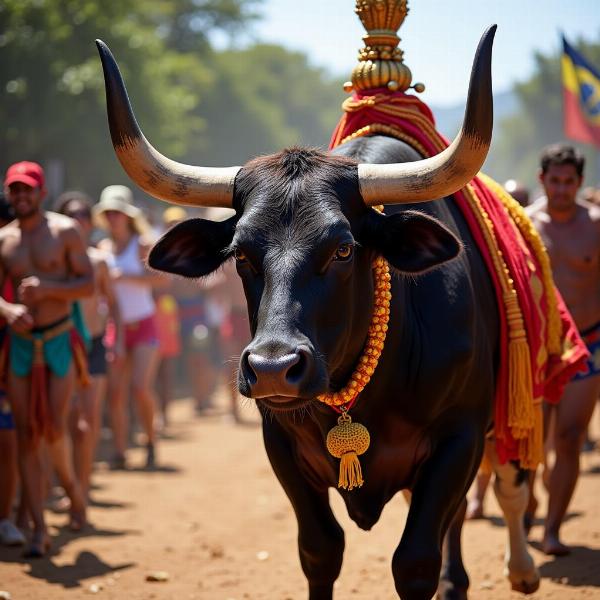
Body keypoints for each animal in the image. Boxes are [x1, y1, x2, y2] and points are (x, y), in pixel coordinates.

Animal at [97, 24, 540, 600]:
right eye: (240, 253)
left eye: (344, 249)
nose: (272, 368)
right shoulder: (282, 445)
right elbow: (320, 550)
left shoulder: (459, 438)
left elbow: (416, 560)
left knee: (510, 484)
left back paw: (522, 568)